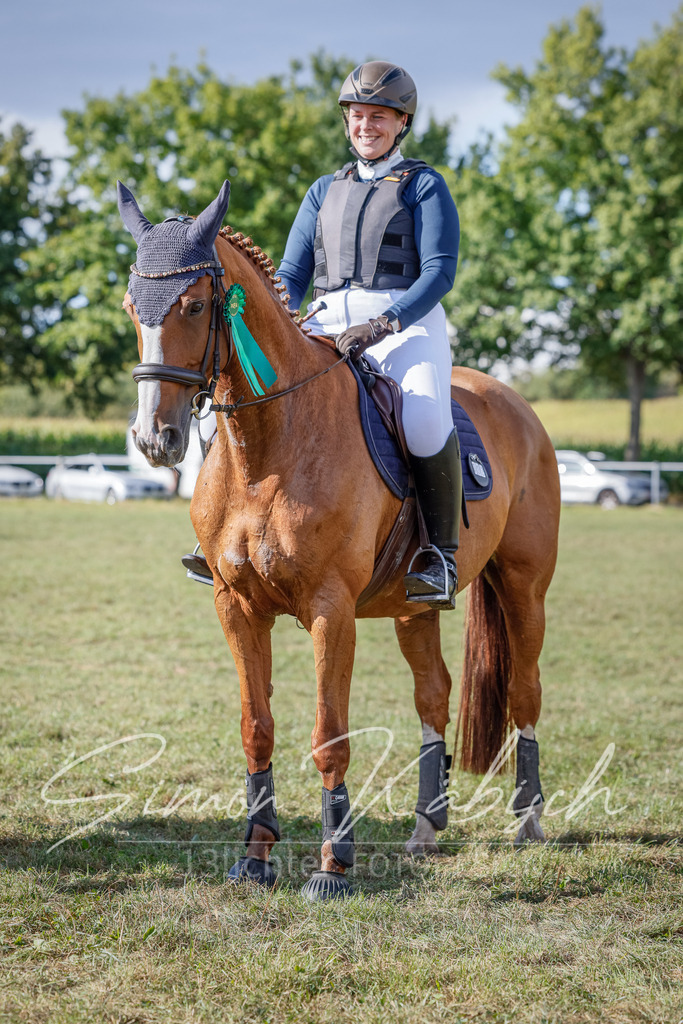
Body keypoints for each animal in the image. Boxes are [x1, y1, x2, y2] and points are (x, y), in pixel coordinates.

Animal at [118, 179, 561, 901]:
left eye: (195, 304)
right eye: (134, 306)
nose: (157, 439)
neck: (268, 447)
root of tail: (515, 405)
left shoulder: (331, 610)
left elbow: (329, 736)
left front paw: (333, 866)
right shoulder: (236, 607)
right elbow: (257, 728)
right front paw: (255, 858)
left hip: (525, 587)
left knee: (525, 691)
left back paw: (528, 822)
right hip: (413, 607)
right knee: (433, 695)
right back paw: (425, 828)